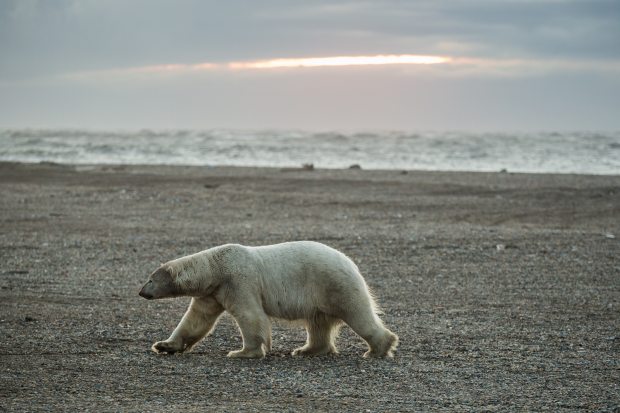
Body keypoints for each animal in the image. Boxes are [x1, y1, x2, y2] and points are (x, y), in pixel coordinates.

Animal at [139, 241, 400, 358]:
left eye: (150, 279)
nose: (141, 292)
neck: (216, 267)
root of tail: (351, 264)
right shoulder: (213, 293)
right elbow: (196, 320)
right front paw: (164, 345)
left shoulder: (239, 281)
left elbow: (251, 316)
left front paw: (242, 352)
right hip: (322, 294)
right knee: (318, 323)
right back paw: (306, 349)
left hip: (334, 284)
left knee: (358, 314)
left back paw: (378, 348)